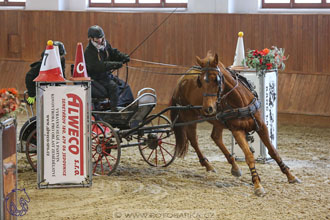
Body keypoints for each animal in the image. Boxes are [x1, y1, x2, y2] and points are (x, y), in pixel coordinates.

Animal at [171, 51, 300, 196]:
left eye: (216, 79)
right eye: (200, 82)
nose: (208, 108)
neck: (241, 102)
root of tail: (181, 79)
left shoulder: (261, 126)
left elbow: (273, 151)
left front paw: (290, 175)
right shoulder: (237, 130)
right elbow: (249, 156)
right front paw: (257, 184)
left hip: (217, 120)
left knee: (215, 137)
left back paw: (234, 166)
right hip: (189, 116)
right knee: (193, 139)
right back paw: (208, 165)